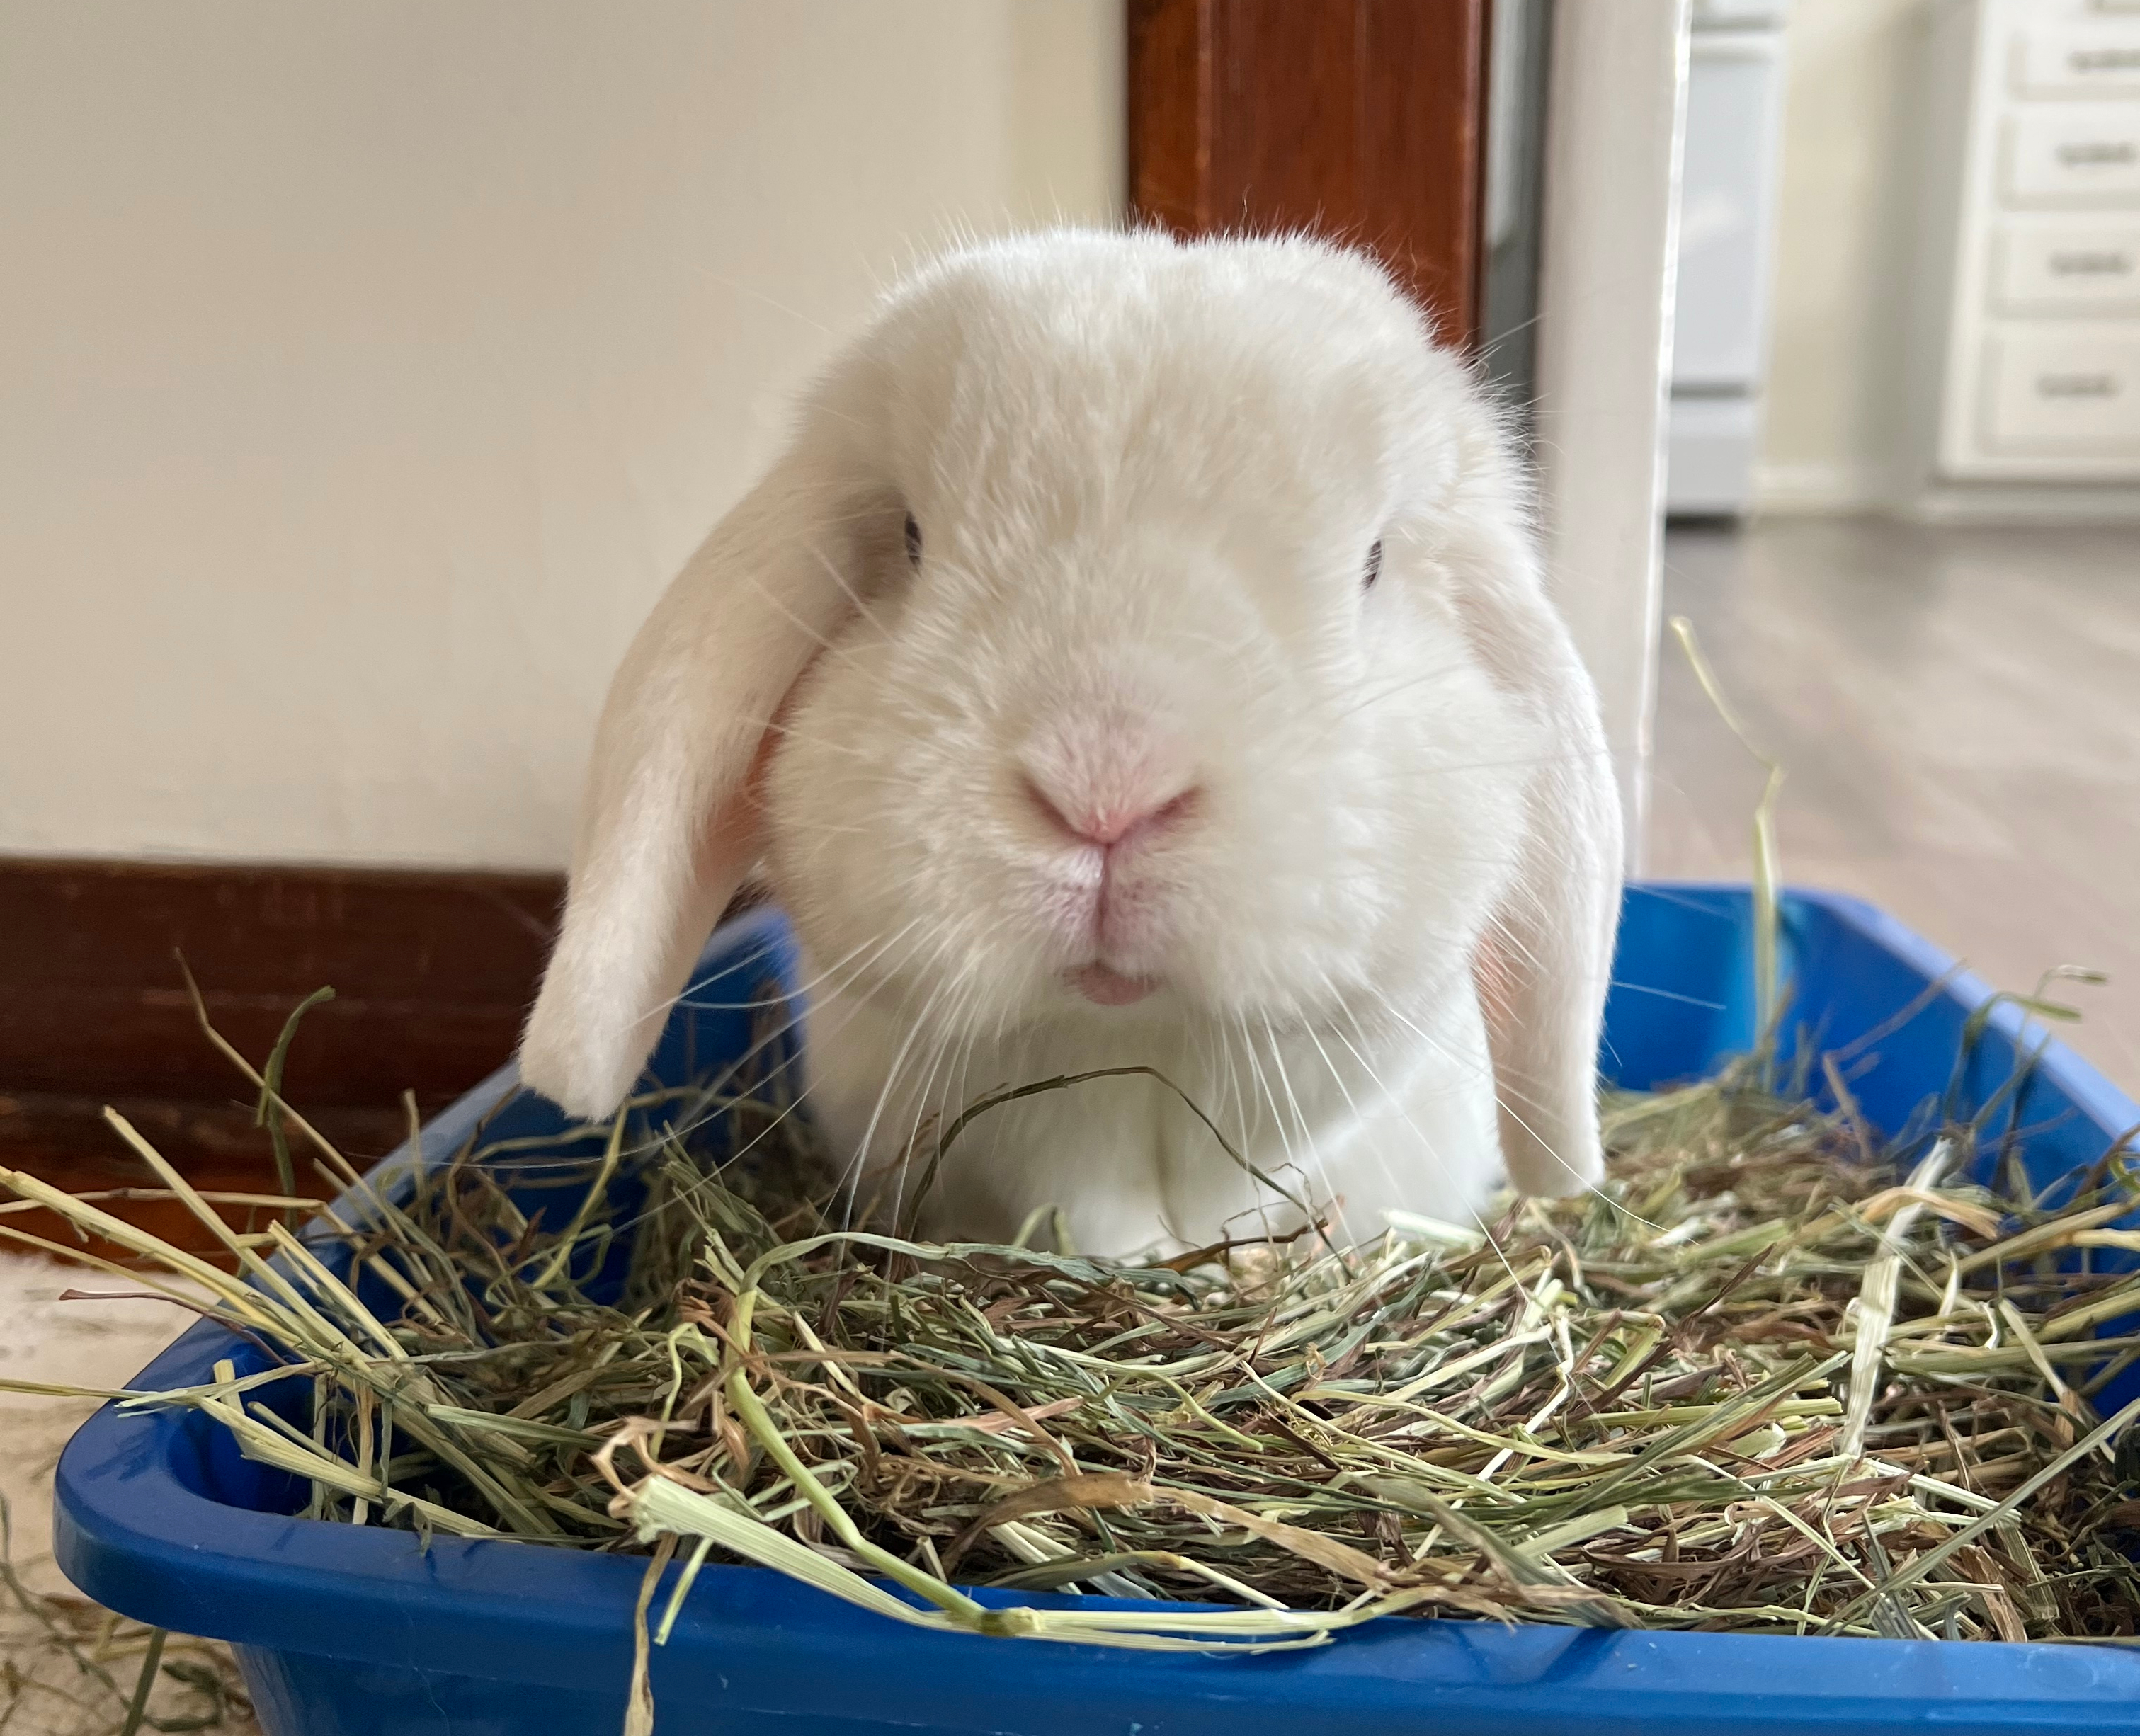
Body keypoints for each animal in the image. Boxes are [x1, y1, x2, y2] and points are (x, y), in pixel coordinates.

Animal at [519, 228, 1623, 1258]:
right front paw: (1154, 1267)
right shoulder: (1027, 1131)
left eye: (1373, 562)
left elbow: (1249, 1188)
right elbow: (1088, 1210)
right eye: (911, 540)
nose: (1106, 793)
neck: (1127, 1034)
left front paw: (1262, 1264)